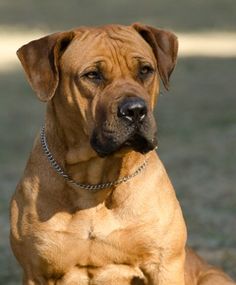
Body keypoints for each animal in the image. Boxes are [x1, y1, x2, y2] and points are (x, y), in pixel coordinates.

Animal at [10, 23, 234, 284]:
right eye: (92, 75)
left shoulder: (163, 265)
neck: (95, 182)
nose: (135, 110)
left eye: (145, 70)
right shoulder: (37, 273)